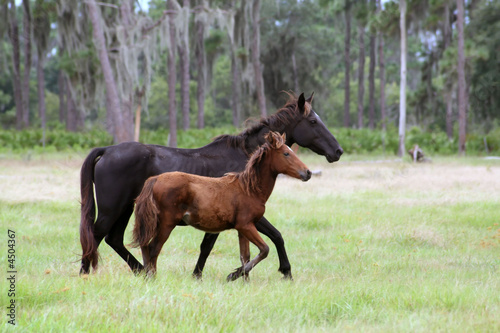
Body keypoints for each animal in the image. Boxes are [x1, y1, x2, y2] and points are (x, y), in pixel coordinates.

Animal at [79, 91, 344, 278]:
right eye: (313, 121)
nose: (338, 151)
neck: (244, 156)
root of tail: (107, 150)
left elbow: (228, 245)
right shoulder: (243, 217)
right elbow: (273, 237)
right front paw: (285, 271)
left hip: (125, 209)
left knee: (114, 239)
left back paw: (140, 270)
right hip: (112, 209)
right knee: (96, 236)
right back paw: (86, 273)